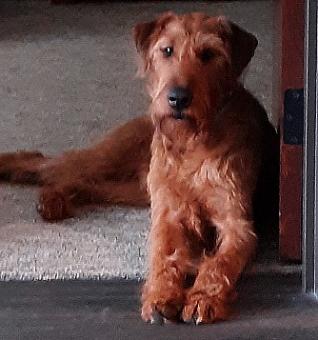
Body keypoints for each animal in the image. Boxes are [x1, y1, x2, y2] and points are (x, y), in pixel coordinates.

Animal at [0, 11, 278, 324]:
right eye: (167, 50)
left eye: (209, 54)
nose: (177, 98)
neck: (192, 142)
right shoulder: (168, 214)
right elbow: (165, 255)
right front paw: (161, 297)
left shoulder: (236, 225)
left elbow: (220, 263)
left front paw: (203, 298)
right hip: (113, 156)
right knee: (51, 164)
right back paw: (35, 186)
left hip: (136, 187)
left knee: (85, 183)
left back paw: (55, 200)